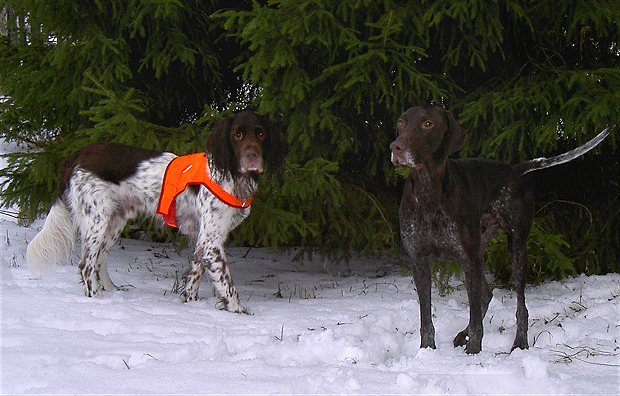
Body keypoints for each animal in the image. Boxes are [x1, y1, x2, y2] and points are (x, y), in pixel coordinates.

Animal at [25, 110, 284, 312]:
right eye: (237, 135)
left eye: (261, 134)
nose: (252, 157)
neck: (231, 176)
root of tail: (78, 155)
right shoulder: (211, 242)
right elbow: (226, 283)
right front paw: (238, 311)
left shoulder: (205, 238)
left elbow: (195, 273)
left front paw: (191, 303)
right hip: (97, 219)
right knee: (86, 265)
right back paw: (96, 299)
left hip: (114, 221)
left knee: (100, 259)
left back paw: (111, 293)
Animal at [392, 104, 612, 352]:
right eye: (401, 123)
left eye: (427, 124)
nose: (395, 147)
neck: (428, 193)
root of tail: (514, 170)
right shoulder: (419, 262)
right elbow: (427, 319)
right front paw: (427, 352)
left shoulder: (467, 259)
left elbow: (476, 320)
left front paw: (474, 353)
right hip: (479, 253)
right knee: (486, 296)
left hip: (515, 248)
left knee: (520, 307)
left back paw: (520, 342)